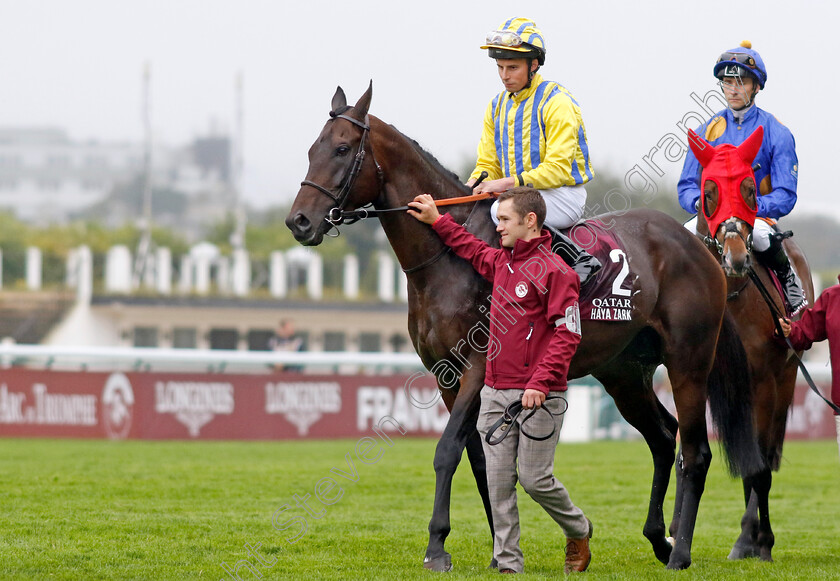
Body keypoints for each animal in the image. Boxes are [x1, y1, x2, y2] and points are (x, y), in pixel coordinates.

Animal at [286, 84, 764, 568]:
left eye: (342, 149)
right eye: (310, 150)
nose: (298, 221)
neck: (447, 262)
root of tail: (703, 250)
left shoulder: (478, 366)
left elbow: (447, 451)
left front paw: (437, 546)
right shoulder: (445, 375)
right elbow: (479, 458)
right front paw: (499, 551)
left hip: (688, 363)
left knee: (695, 452)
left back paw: (680, 551)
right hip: (624, 373)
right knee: (664, 439)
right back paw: (659, 537)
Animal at [684, 129, 812, 560]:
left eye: (751, 190)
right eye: (708, 192)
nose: (737, 258)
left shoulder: (762, 383)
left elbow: (759, 467)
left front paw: (758, 540)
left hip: (785, 378)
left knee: (766, 459)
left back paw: (755, 538)